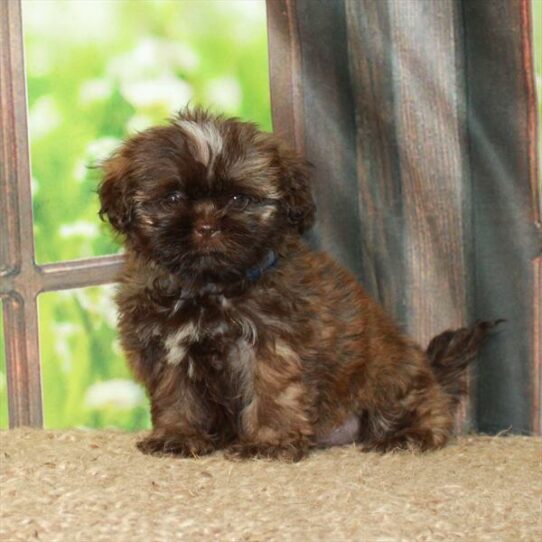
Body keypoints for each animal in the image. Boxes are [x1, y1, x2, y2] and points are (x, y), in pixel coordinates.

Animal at [99, 108, 498, 462]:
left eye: (238, 199)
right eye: (173, 198)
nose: (207, 226)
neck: (210, 288)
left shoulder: (273, 344)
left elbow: (272, 393)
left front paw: (268, 444)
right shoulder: (167, 347)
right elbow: (176, 394)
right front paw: (179, 436)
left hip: (390, 376)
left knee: (423, 406)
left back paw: (409, 435)